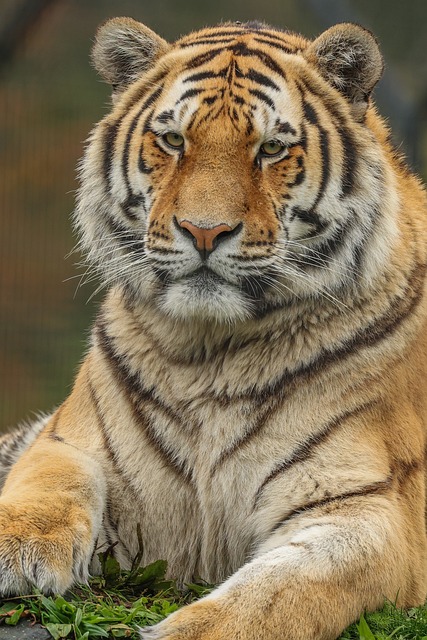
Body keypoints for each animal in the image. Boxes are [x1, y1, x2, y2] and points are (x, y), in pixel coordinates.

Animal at [1, 15, 427, 640]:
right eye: (174, 141)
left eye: (271, 148)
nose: (204, 231)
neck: (209, 350)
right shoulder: (68, 439)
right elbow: (46, 485)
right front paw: (15, 547)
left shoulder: (367, 504)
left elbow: (279, 594)